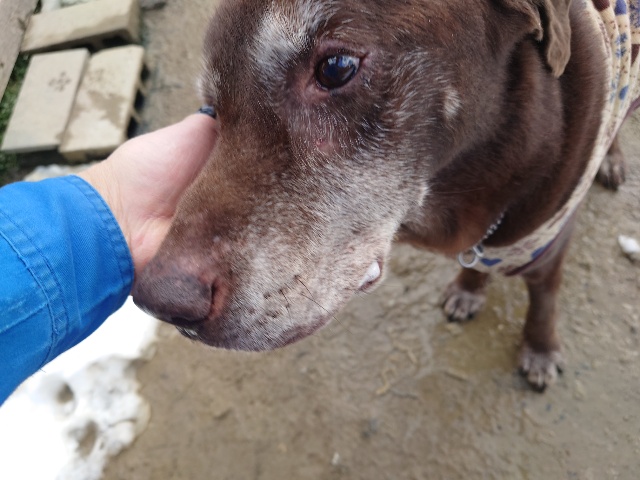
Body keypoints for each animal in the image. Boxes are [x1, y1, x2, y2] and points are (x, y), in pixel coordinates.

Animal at [132, 0, 640, 390]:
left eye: (336, 68)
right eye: (212, 108)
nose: (161, 300)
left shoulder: (549, 242)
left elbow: (543, 299)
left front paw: (539, 349)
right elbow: (475, 267)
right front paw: (468, 289)